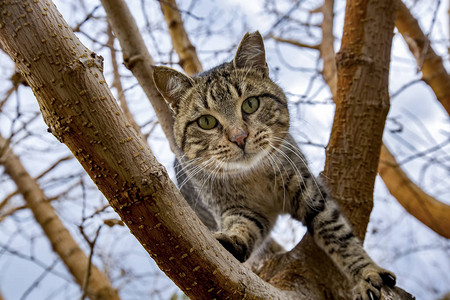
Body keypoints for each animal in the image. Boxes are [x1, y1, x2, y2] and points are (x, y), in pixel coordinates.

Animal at [153, 31, 396, 300]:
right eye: (206, 121)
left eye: (250, 104)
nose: (239, 137)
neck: (253, 175)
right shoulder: (237, 209)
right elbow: (242, 227)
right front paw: (232, 240)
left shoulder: (312, 194)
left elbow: (339, 235)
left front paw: (366, 273)